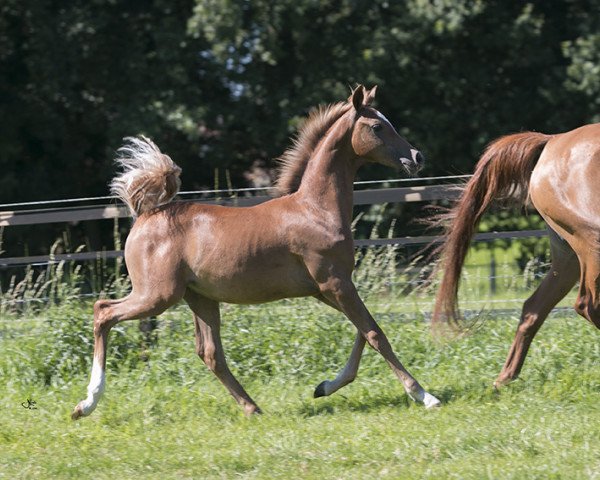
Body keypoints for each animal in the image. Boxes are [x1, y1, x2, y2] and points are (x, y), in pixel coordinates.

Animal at [74, 86, 440, 420]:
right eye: (377, 127)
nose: (417, 157)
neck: (315, 209)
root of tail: (146, 215)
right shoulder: (335, 283)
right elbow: (375, 333)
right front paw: (424, 395)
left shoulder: (326, 289)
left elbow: (363, 332)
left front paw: (324, 387)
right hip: (157, 294)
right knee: (103, 311)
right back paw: (86, 404)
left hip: (200, 297)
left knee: (209, 353)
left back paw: (252, 408)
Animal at [432, 123, 600, 386]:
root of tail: (553, 140)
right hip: (591, 243)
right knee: (587, 304)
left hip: (570, 257)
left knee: (534, 308)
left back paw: (504, 379)